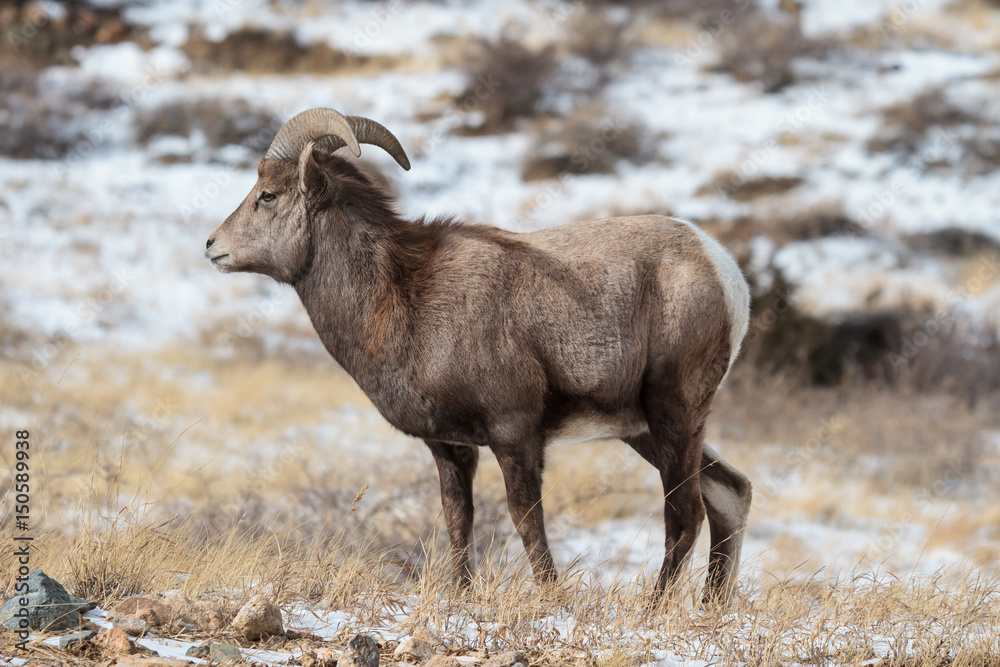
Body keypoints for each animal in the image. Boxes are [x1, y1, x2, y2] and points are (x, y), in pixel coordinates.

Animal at [205, 108, 752, 603]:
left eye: (268, 195)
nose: (213, 247)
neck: (403, 298)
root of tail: (722, 269)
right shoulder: (450, 448)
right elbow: (458, 520)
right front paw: (463, 596)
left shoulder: (514, 434)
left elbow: (525, 520)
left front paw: (552, 601)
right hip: (643, 429)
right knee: (730, 494)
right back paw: (711, 607)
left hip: (672, 412)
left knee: (685, 514)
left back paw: (654, 610)